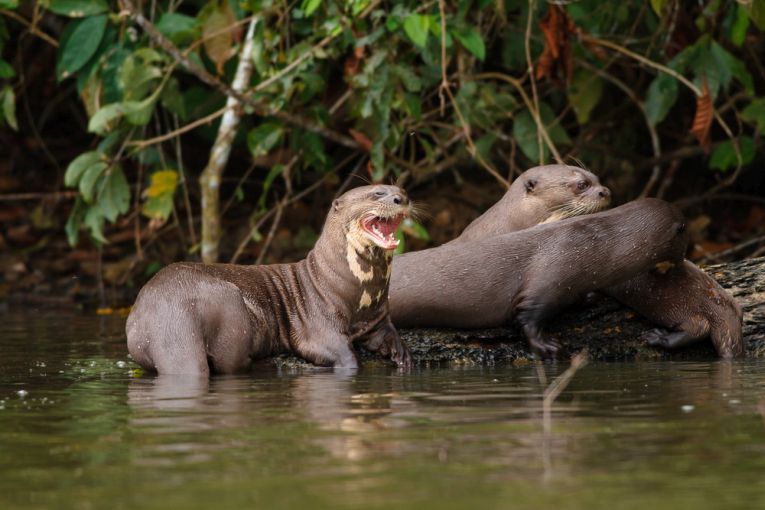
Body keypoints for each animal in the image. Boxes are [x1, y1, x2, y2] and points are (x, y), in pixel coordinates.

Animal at [127, 185, 412, 376]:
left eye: (399, 189)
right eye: (377, 193)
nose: (402, 198)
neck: (358, 293)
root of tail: (171, 311)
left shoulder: (376, 318)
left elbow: (388, 334)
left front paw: (402, 355)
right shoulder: (318, 323)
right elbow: (337, 350)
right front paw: (351, 364)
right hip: (232, 308)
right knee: (229, 362)